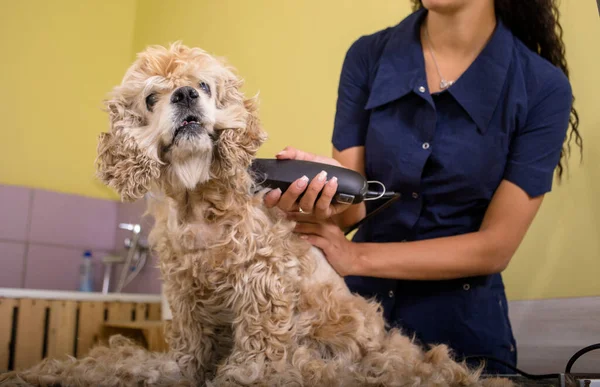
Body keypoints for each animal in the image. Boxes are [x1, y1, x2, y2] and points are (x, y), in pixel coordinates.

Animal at [0, 44, 510, 386]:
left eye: (204, 85)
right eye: (150, 98)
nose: (185, 94)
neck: (200, 200)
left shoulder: (262, 278)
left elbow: (259, 343)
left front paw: (241, 376)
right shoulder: (185, 290)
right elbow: (191, 345)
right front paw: (183, 373)